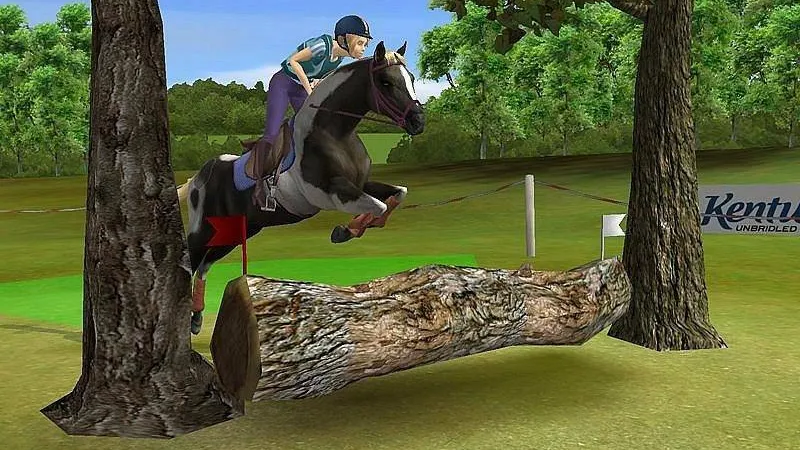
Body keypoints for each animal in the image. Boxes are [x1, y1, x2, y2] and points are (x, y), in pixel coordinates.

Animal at [176, 41, 425, 335]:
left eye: (411, 79)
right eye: (386, 82)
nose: (419, 121)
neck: (334, 132)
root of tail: (198, 176)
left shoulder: (360, 184)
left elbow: (398, 194)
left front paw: (349, 229)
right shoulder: (326, 193)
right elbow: (380, 205)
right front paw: (344, 231)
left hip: (237, 231)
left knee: (204, 265)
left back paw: (196, 318)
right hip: (205, 229)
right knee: (192, 259)